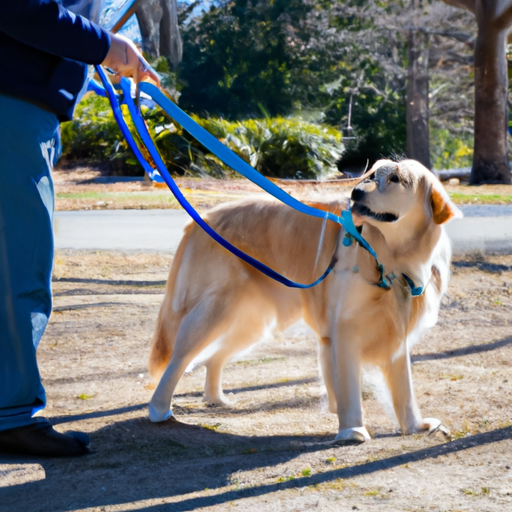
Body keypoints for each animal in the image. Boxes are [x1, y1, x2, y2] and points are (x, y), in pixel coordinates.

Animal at [147, 158, 460, 442]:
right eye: (371, 174)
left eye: (396, 178)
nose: (356, 192)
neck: (387, 257)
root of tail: (204, 217)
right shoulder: (345, 328)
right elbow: (349, 386)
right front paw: (352, 430)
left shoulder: (396, 331)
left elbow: (404, 389)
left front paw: (414, 426)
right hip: (215, 311)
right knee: (178, 359)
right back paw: (159, 410)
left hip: (250, 322)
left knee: (214, 357)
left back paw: (216, 398)